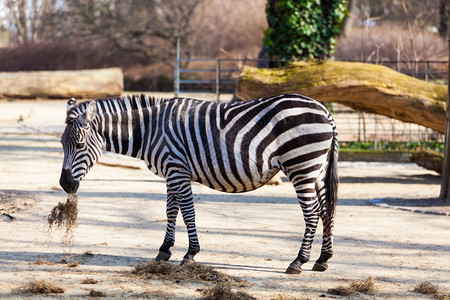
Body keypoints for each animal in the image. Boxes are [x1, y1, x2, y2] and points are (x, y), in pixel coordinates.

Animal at [59, 94, 338, 274]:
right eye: (62, 144)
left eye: (80, 144)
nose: (65, 184)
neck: (150, 130)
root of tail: (324, 110)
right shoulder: (172, 171)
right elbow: (171, 211)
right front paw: (164, 250)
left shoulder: (177, 170)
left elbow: (188, 213)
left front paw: (190, 254)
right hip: (317, 168)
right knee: (326, 210)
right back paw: (323, 259)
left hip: (301, 166)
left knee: (312, 213)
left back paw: (298, 262)